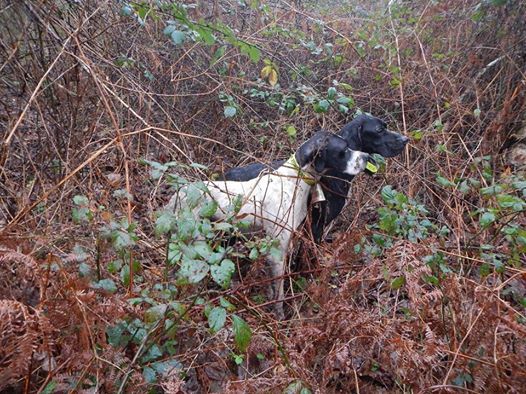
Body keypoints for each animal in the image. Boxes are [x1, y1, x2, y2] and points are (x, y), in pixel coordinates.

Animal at [167, 132, 370, 318]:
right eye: (344, 150)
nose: (368, 157)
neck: (294, 180)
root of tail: (177, 195)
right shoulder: (277, 251)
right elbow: (279, 292)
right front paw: (279, 316)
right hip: (195, 244)